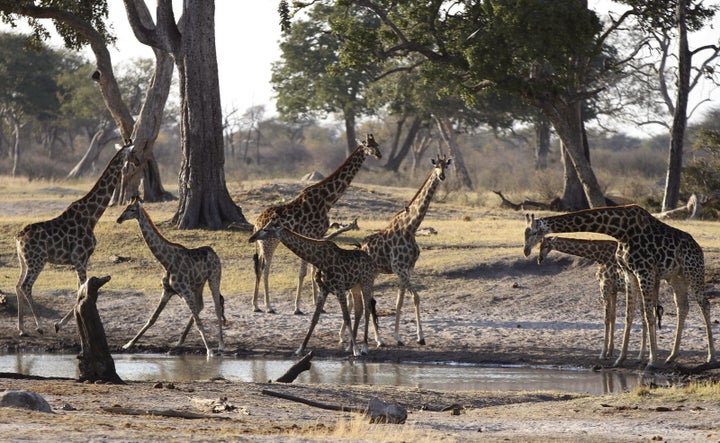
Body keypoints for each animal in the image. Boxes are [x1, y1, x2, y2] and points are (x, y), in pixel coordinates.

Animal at [15, 143, 139, 336]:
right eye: (135, 153)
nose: (140, 163)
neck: (92, 216)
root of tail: (19, 237)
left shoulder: (81, 260)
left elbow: (79, 289)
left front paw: (63, 323)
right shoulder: (79, 258)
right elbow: (82, 290)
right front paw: (59, 324)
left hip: (24, 261)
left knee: (17, 286)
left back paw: (22, 329)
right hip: (37, 261)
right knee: (25, 286)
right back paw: (39, 326)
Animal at [116, 198, 225, 358]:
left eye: (132, 210)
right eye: (124, 208)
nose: (119, 219)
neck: (166, 262)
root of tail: (214, 252)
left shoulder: (185, 291)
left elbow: (198, 322)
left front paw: (209, 351)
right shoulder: (167, 291)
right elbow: (152, 318)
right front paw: (128, 344)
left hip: (214, 278)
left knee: (216, 307)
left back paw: (221, 345)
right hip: (198, 284)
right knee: (200, 305)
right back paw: (179, 342)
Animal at [248, 220, 376, 360]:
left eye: (266, 229)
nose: (252, 238)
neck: (319, 260)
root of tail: (371, 260)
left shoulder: (339, 289)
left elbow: (346, 317)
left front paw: (357, 351)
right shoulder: (323, 290)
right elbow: (314, 319)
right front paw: (300, 349)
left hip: (367, 282)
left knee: (367, 310)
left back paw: (364, 347)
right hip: (355, 286)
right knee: (359, 309)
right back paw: (350, 347)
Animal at [250, 134, 380, 316]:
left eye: (378, 144)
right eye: (369, 145)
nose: (379, 155)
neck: (327, 200)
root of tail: (256, 224)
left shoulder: (318, 235)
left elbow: (313, 269)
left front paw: (317, 303)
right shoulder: (310, 233)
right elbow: (303, 272)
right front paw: (297, 307)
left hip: (265, 243)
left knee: (259, 267)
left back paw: (255, 305)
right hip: (269, 241)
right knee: (265, 268)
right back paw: (268, 306)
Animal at [524, 206, 716, 370]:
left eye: (534, 233)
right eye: (526, 233)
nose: (527, 252)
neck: (620, 231)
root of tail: (698, 248)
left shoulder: (640, 273)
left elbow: (645, 316)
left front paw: (651, 361)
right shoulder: (629, 274)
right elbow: (627, 316)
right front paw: (620, 358)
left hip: (693, 272)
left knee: (704, 304)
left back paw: (710, 357)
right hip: (676, 278)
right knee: (682, 307)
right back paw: (671, 356)